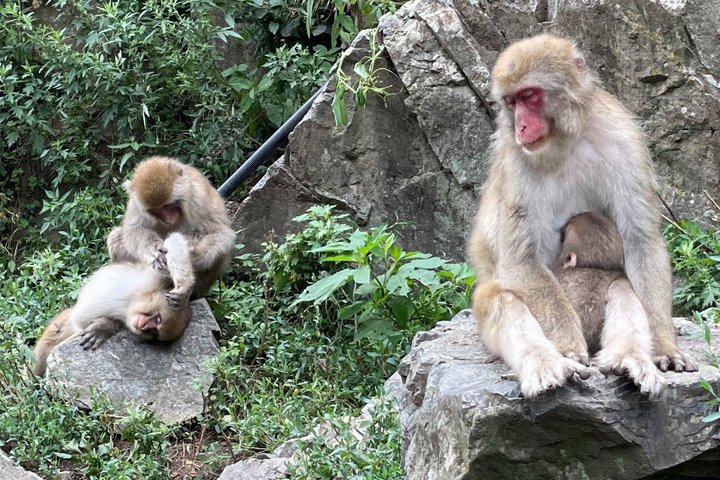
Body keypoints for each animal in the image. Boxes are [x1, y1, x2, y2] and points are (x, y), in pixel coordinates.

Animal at [31, 233, 193, 376]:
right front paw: (184, 288)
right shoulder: (157, 276)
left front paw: (103, 327)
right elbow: (171, 244)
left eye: (154, 333)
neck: (131, 301)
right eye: (157, 319)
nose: (144, 326)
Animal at [107, 156, 236, 306]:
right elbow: (134, 230)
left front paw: (194, 255)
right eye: (155, 210)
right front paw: (154, 251)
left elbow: (220, 232)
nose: (168, 219)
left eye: (167, 205)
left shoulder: (198, 197)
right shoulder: (135, 203)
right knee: (115, 238)